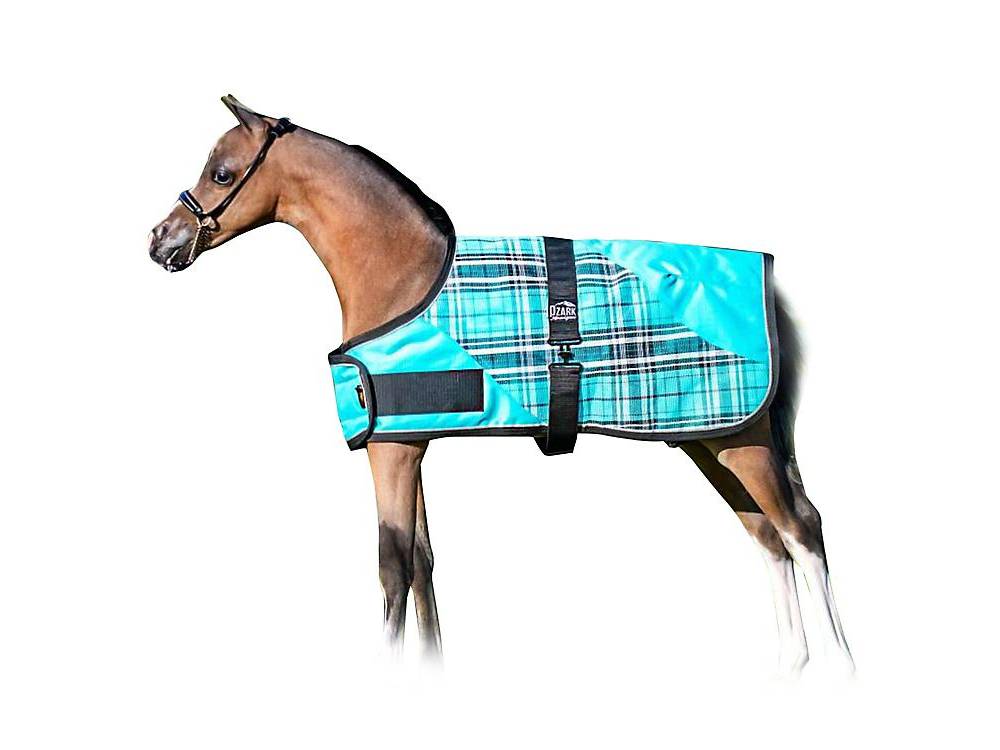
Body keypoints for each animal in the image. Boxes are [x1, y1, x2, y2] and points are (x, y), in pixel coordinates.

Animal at [148, 96, 854, 676]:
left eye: (222, 173)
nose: (161, 239)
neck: (402, 270)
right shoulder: (410, 446)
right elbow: (424, 563)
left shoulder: (389, 451)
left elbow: (393, 568)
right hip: (710, 441)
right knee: (767, 537)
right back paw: (791, 664)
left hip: (745, 443)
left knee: (801, 530)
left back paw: (840, 666)